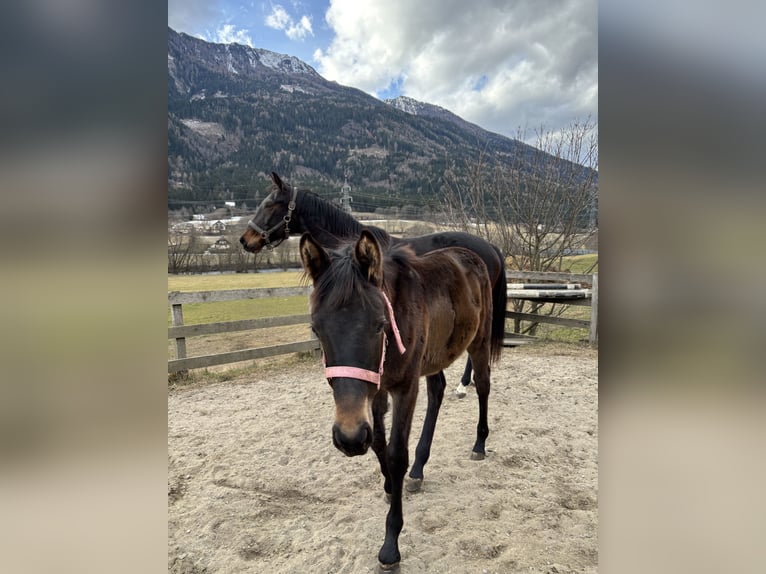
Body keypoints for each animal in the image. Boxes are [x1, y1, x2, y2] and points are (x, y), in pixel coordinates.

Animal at [300, 231, 498, 572]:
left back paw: (479, 444)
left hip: (479, 340)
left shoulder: (404, 388)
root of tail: (472, 256)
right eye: (316, 328)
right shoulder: (377, 389)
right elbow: (379, 443)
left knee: (483, 386)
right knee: (436, 392)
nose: (348, 438)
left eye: (380, 324)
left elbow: (395, 455)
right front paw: (391, 486)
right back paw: (418, 470)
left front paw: (390, 545)